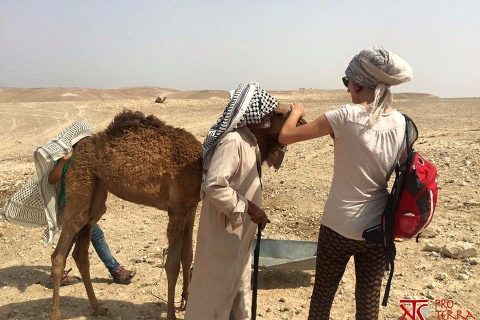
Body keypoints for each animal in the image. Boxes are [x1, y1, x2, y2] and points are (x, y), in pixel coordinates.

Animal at [48, 106, 304, 318]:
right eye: (279, 113)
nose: (302, 120)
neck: (201, 164)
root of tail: (74, 151)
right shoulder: (177, 210)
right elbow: (172, 264)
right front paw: (171, 313)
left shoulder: (190, 208)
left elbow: (187, 255)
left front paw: (186, 299)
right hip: (80, 187)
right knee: (60, 252)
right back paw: (57, 314)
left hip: (97, 194)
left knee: (81, 250)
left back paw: (98, 308)